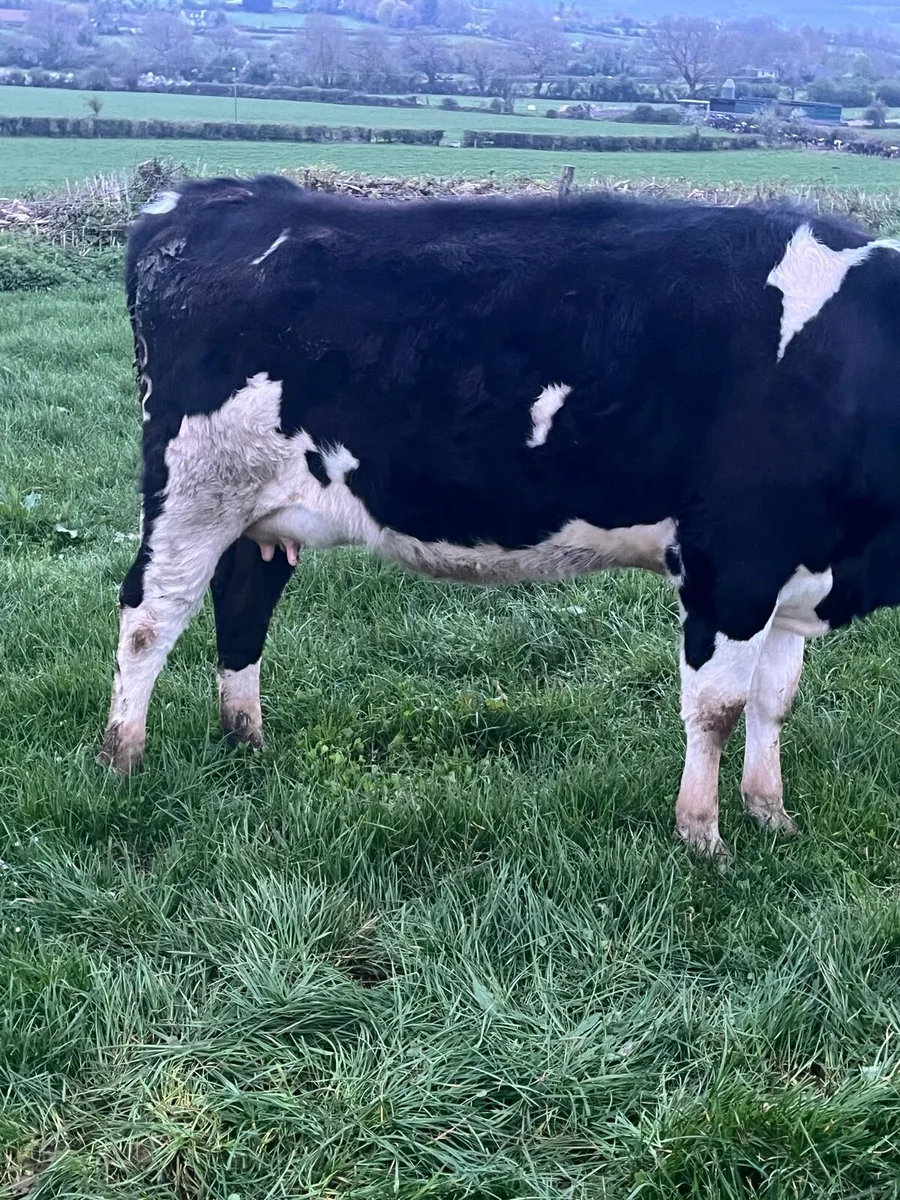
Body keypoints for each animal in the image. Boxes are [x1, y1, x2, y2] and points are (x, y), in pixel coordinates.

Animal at [99, 173, 900, 859]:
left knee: (243, 602)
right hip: (194, 485)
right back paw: (121, 759)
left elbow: (774, 700)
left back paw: (244, 741)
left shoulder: (796, 569)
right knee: (150, 614)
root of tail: (203, 200)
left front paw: (772, 816)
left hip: (257, 508)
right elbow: (719, 707)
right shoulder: (731, 565)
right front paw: (703, 837)